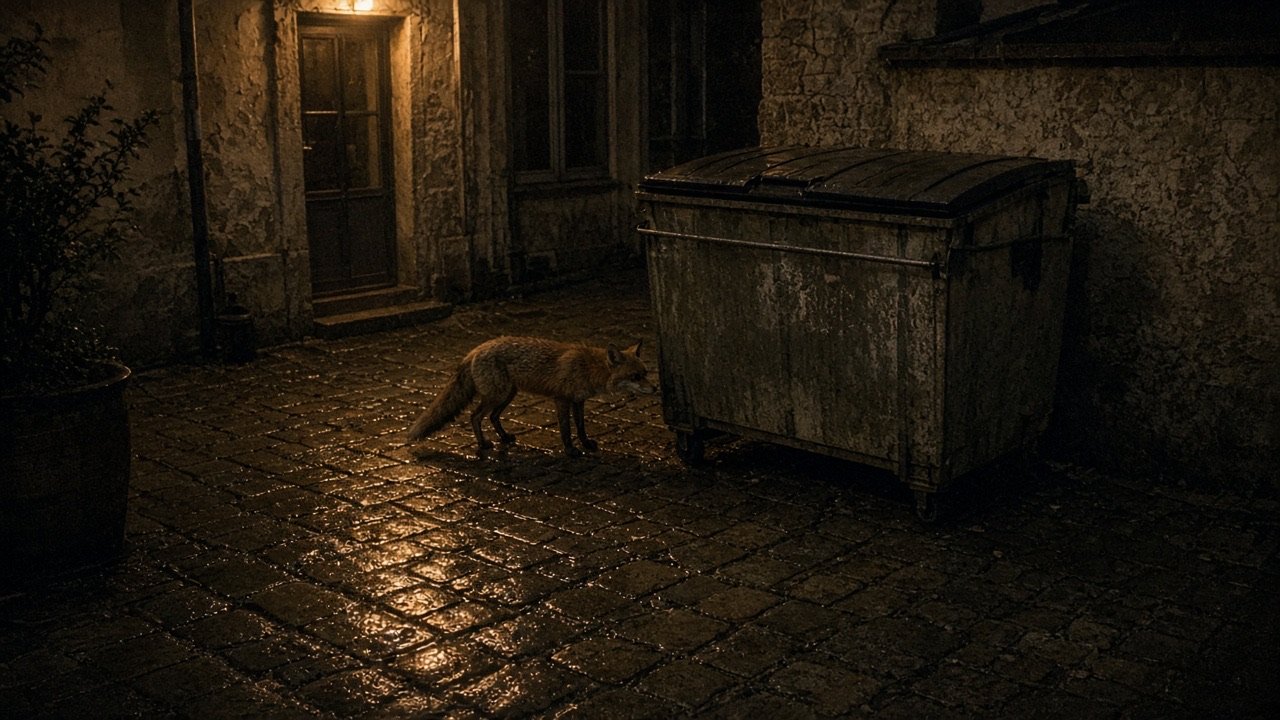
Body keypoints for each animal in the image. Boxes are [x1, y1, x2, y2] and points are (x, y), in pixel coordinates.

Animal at [407, 336, 654, 457]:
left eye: (646, 373)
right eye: (635, 376)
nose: (655, 389)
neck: (589, 367)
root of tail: (475, 350)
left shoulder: (578, 400)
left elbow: (581, 427)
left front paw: (586, 444)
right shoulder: (561, 399)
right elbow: (566, 430)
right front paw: (571, 451)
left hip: (508, 395)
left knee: (492, 417)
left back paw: (504, 438)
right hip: (497, 395)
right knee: (475, 417)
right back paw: (484, 444)